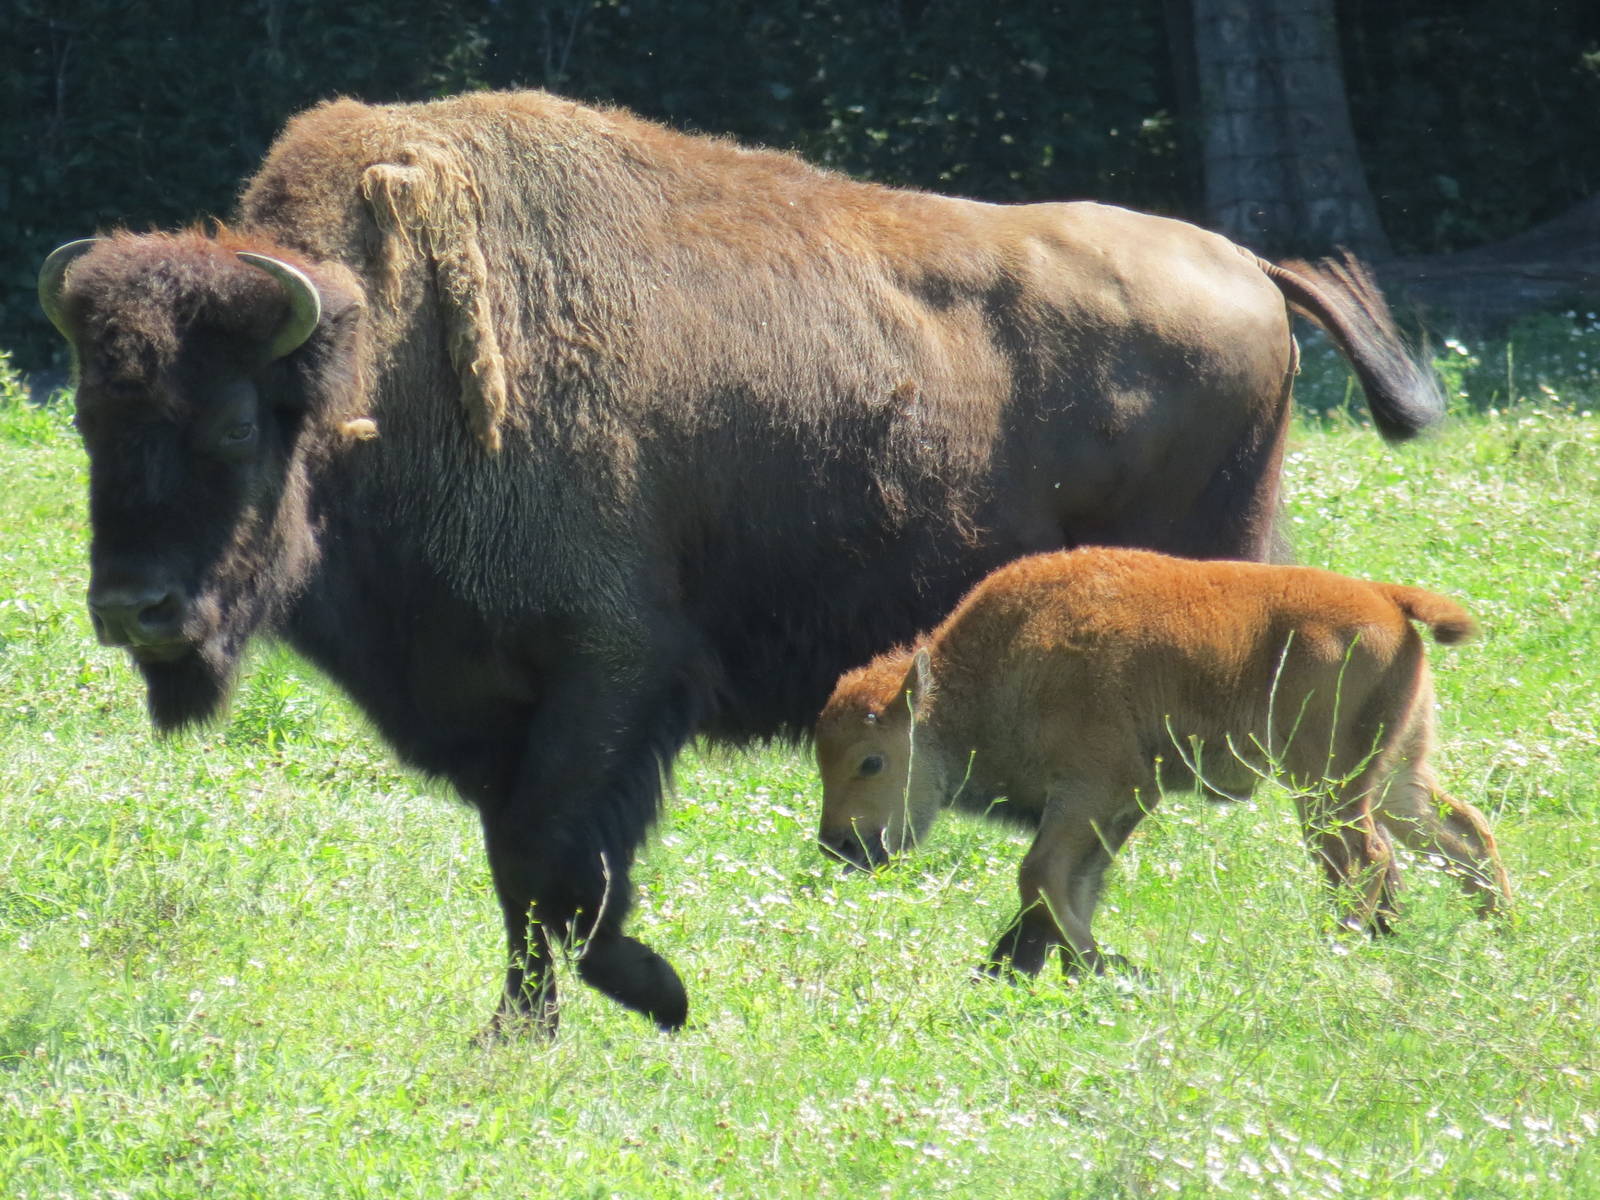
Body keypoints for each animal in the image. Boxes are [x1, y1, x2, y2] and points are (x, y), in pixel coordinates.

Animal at [814, 547, 1511, 978]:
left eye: (870, 762)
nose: (840, 845)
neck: (990, 671)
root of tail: (1385, 598)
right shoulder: (1116, 806)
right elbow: (1073, 886)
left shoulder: (1097, 788)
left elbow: (1041, 877)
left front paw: (1101, 967)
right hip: (1392, 778)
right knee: (1463, 834)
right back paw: (1496, 933)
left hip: (1325, 786)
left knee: (1365, 858)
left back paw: (1335, 949)